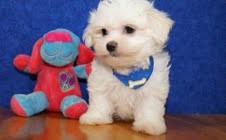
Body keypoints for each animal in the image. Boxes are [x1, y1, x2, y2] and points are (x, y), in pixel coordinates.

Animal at [80, 0, 174, 136]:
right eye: (103, 31)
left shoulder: (153, 89)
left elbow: (149, 106)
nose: (110, 45)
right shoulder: (100, 83)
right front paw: (96, 117)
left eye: (129, 29)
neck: (126, 70)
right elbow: (100, 101)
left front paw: (148, 124)